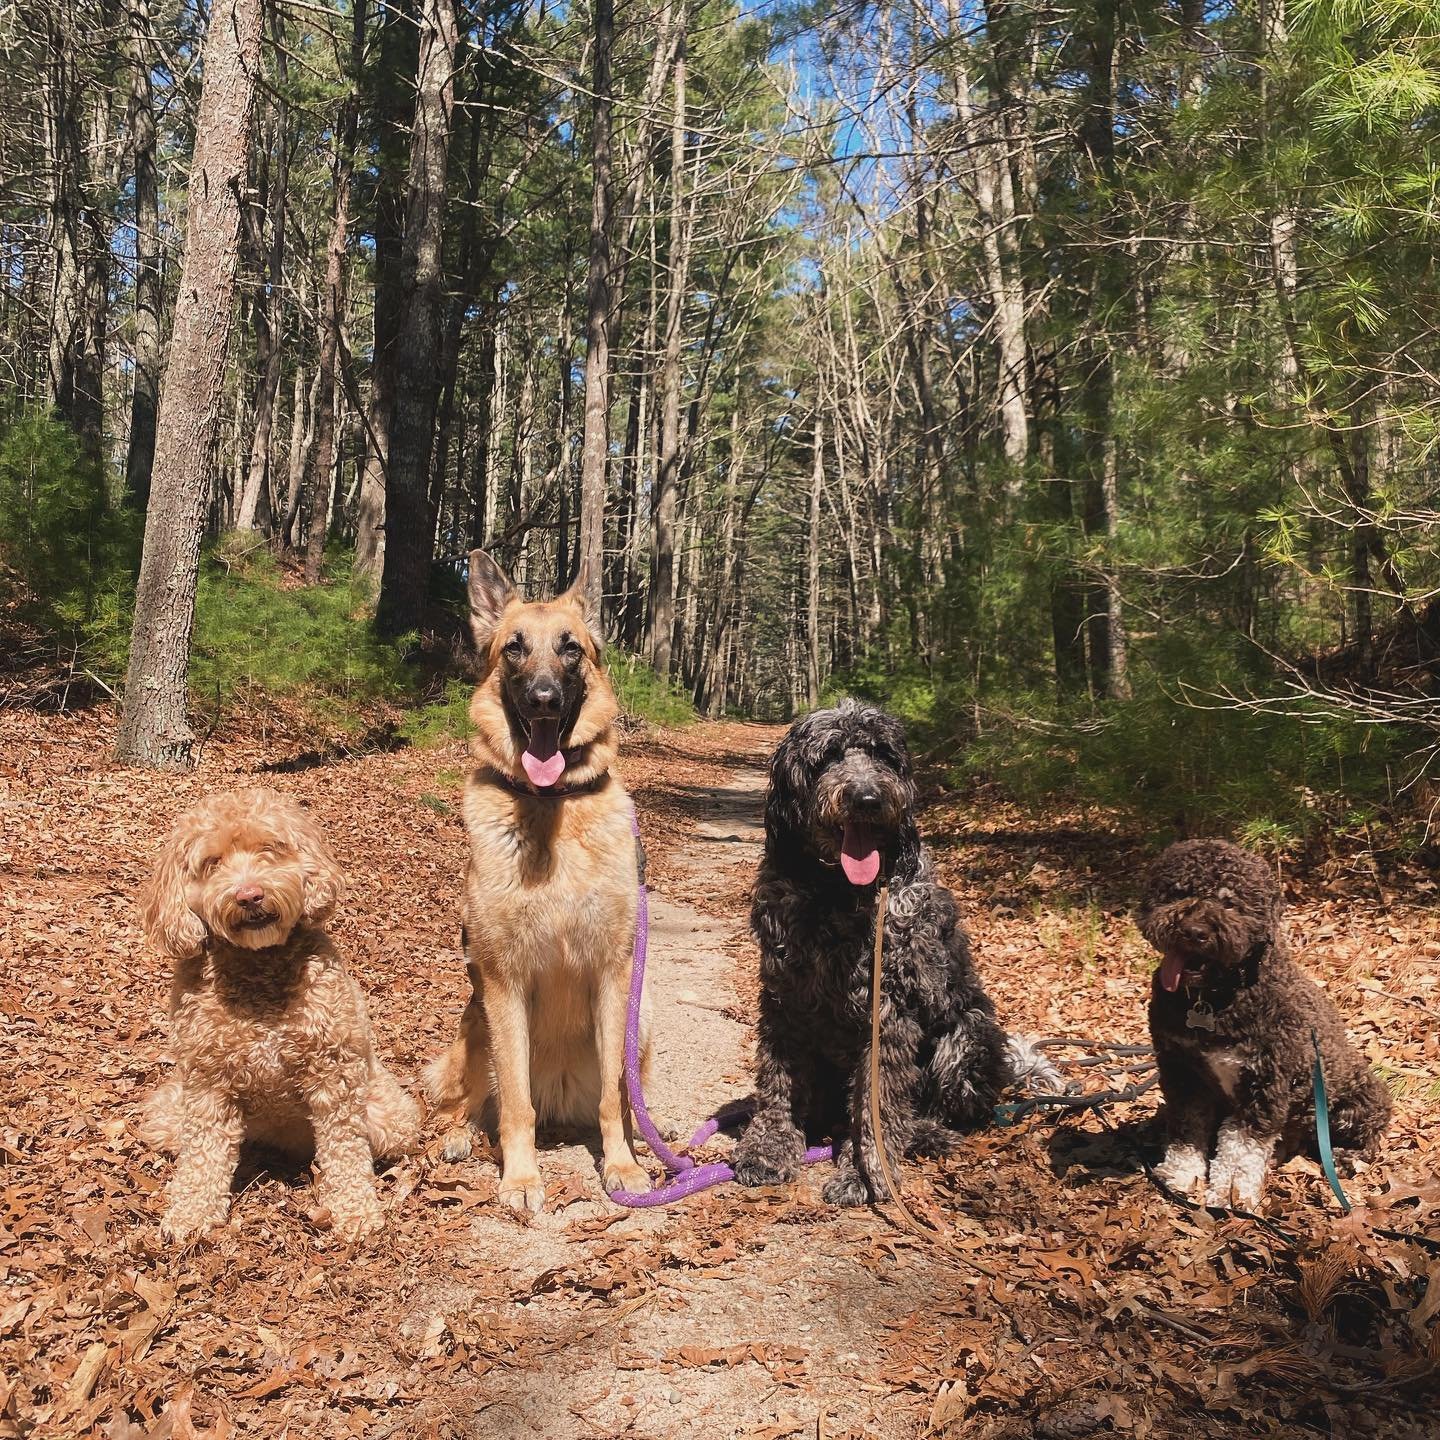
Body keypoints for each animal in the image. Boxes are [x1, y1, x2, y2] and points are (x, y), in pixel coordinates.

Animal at [138, 789, 417, 1238]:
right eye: (212, 862)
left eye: (269, 848)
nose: (249, 895)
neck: (258, 967)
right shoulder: (206, 1084)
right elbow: (202, 1156)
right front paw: (190, 1214)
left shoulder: (335, 1073)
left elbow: (345, 1151)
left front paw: (356, 1212)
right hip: (167, 1113)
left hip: (391, 1116)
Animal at [420, 547, 653, 1203]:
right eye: (515, 649)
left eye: (570, 648)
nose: (545, 698)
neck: (551, 805)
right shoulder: (503, 982)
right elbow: (514, 1104)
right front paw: (521, 1176)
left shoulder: (614, 975)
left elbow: (613, 1098)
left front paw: (622, 1166)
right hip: (476, 1022)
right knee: (483, 1101)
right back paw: (460, 1135)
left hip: (641, 1018)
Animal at [731, 696, 1013, 1203]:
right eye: (828, 756)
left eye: (884, 754)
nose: (868, 799)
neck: (836, 892)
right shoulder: (785, 999)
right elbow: (778, 1079)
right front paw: (768, 1145)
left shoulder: (890, 1011)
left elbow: (878, 1101)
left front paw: (864, 1169)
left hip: (967, 1037)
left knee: (941, 1107)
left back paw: (925, 1133)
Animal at [1140, 840, 1388, 1209]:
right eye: (1177, 893)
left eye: (1229, 902)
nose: (1193, 932)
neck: (1213, 998)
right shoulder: (1183, 1073)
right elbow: (1186, 1131)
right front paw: (1180, 1175)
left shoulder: (1265, 1083)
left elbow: (1240, 1148)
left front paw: (1231, 1192)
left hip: (1357, 1098)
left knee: (1368, 1135)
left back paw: (1349, 1157)